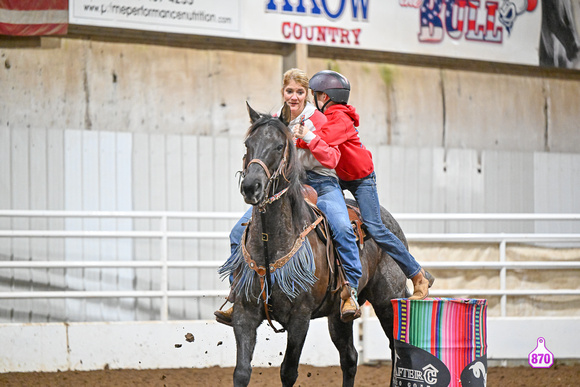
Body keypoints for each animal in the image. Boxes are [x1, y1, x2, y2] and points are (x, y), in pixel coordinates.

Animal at [219, 104, 408, 387]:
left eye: (279, 146)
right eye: (247, 144)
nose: (251, 186)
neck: (270, 246)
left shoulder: (300, 317)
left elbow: (288, 371)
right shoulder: (245, 312)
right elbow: (241, 372)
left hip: (388, 301)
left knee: (396, 350)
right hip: (339, 316)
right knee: (350, 358)